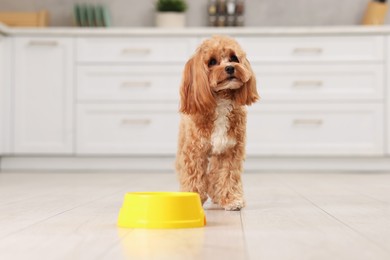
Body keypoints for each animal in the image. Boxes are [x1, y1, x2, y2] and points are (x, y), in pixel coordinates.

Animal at [175, 35, 258, 211]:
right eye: (212, 62)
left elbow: (227, 175)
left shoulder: (230, 150)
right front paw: (193, 199)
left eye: (234, 58)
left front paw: (231, 199)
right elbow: (194, 176)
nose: (230, 68)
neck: (221, 100)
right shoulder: (195, 152)